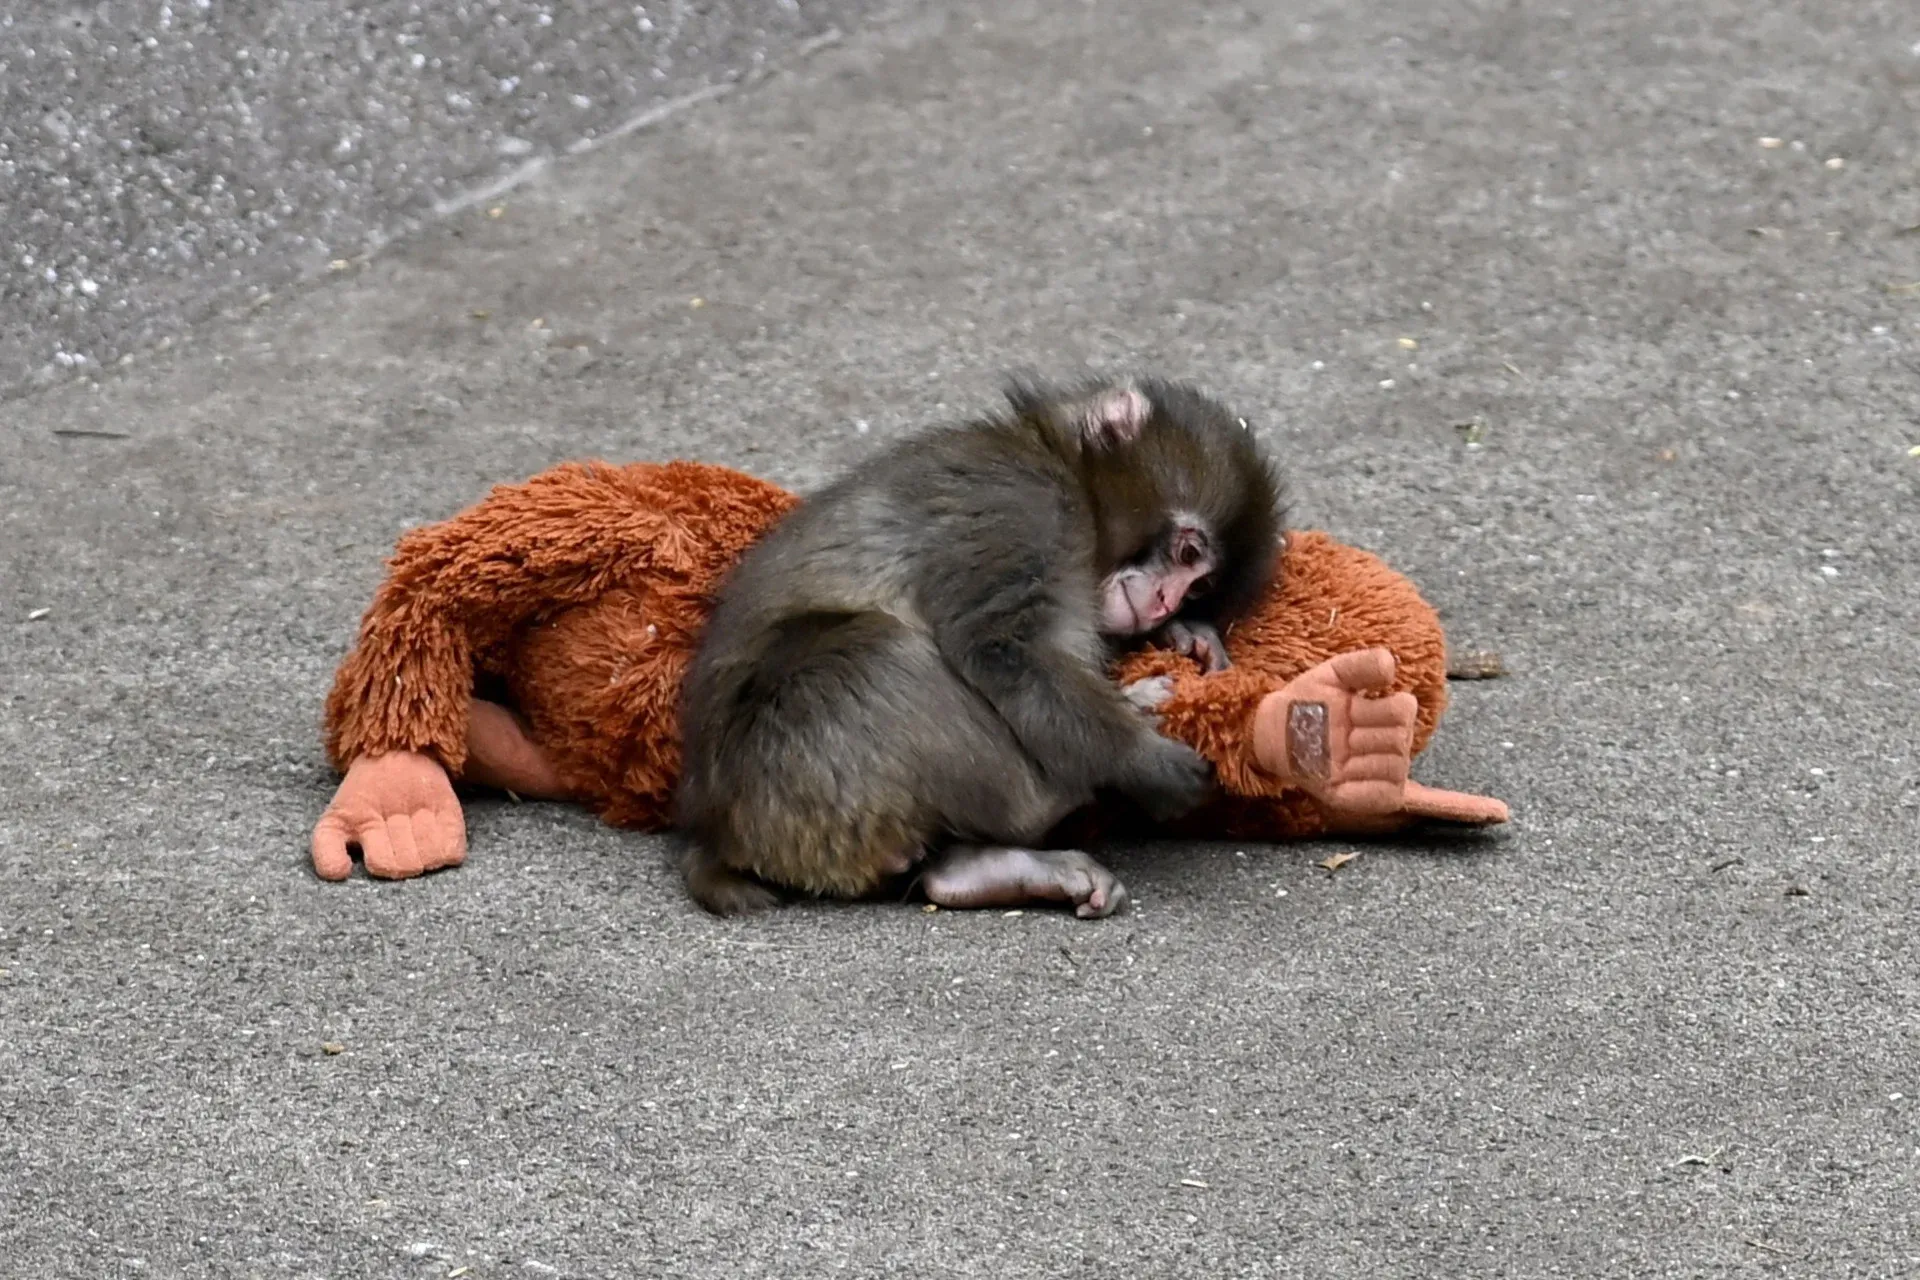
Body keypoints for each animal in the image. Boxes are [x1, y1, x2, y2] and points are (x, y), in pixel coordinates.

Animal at [674, 375, 1285, 919]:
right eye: (1187, 554)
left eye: (1199, 587)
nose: (1164, 603)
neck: (1066, 473)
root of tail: (715, 834)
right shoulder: (1022, 506)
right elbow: (1003, 648)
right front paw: (1142, 760)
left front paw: (1186, 636)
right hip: (789, 771)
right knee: (879, 652)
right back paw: (1060, 791)